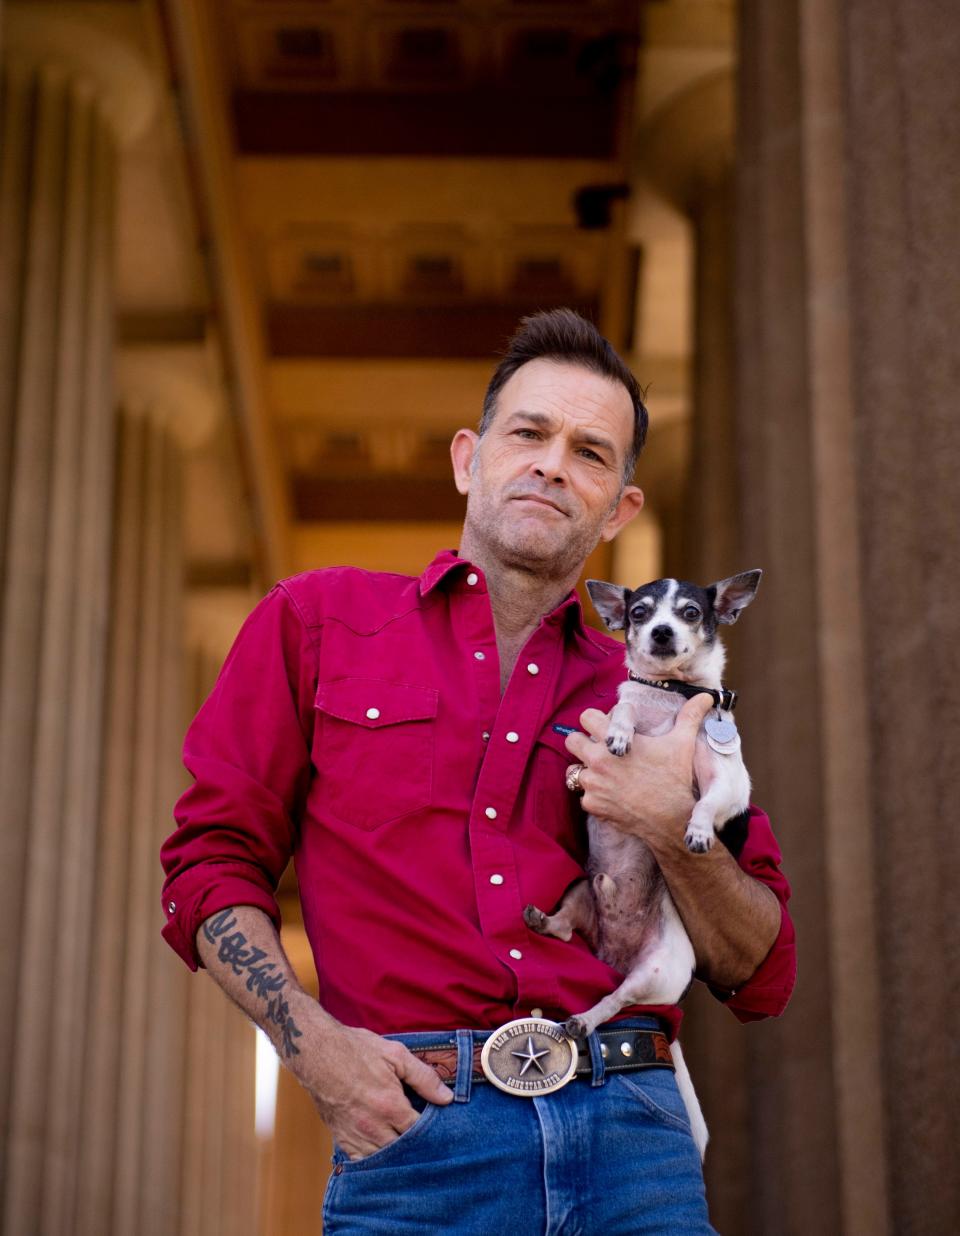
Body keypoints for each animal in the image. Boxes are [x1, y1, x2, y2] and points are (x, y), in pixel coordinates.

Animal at [523, 568, 766, 1156]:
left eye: (691, 613)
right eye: (640, 614)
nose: (659, 632)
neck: (670, 697)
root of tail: (614, 955)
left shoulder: (728, 782)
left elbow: (705, 802)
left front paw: (697, 830)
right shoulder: (627, 708)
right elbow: (623, 709)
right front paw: (620, 731)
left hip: (652, 973)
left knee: (613, 1003)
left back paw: (583, 1020)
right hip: (580, 888)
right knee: (566, 929)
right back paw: (544, 921)